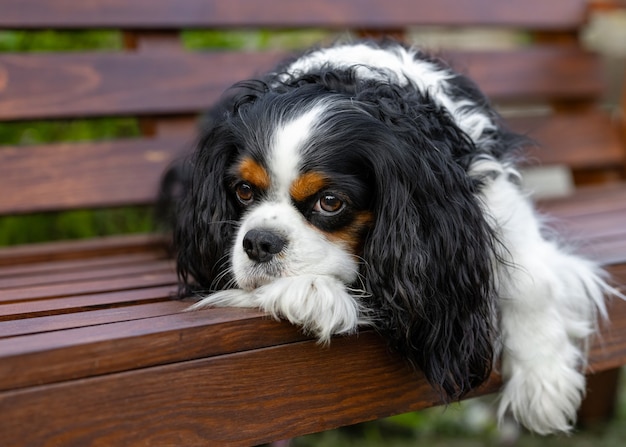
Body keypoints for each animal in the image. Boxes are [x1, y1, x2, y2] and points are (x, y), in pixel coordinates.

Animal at [158, 41, 616, 434]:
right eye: (243, 191)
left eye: (330, 202)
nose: (258, 242)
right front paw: (313, 292)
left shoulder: (493, 198)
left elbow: (531, 281)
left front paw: (545, 383)